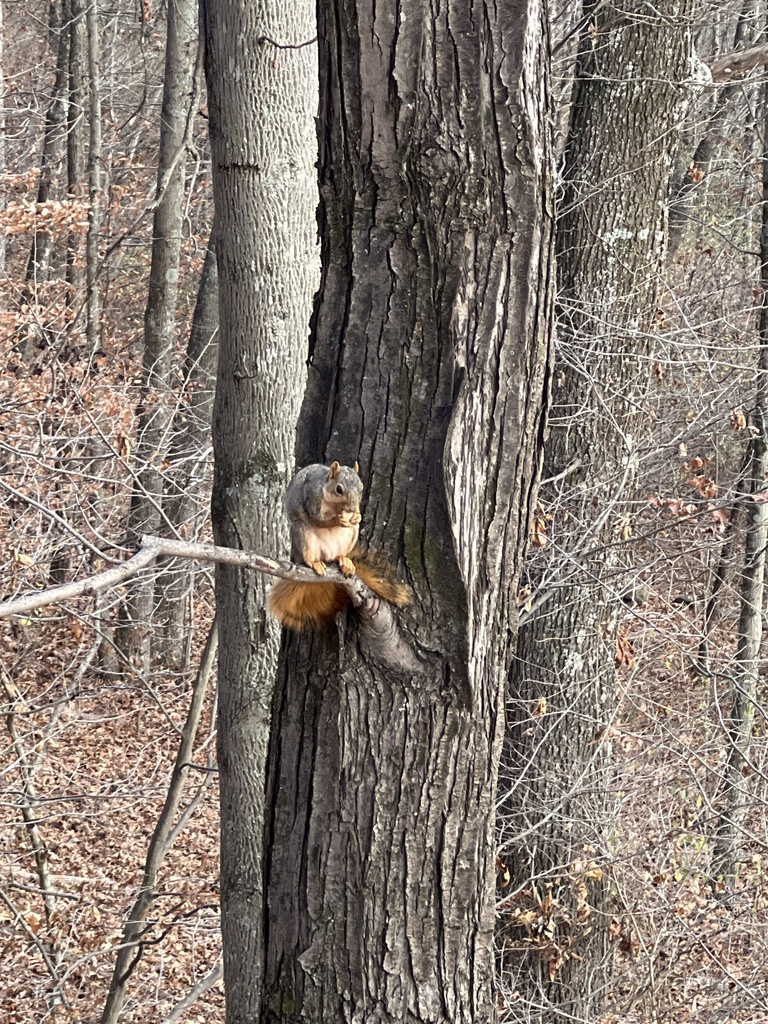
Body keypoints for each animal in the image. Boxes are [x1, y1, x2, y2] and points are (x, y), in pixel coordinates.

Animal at [268, 460, 415, 626]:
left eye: (361, 487)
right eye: (339, 489)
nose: (353, 509)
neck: (336, 506)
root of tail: (326, 557)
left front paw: (357, 516)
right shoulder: (313, 498)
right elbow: (319, 519)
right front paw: (338, 520)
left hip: (350, 536)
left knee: (338, 555)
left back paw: (345, 561)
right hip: (303, 534)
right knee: (308, 557)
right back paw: (314, 563)